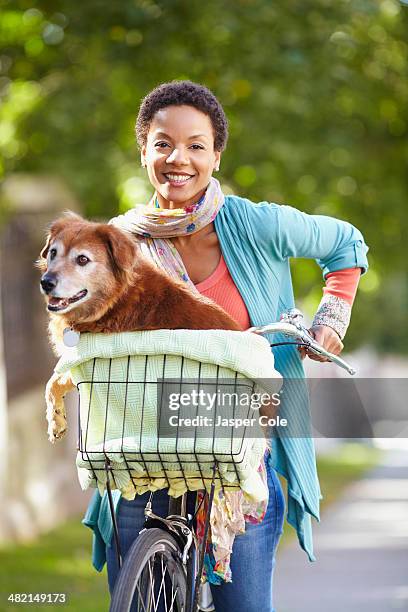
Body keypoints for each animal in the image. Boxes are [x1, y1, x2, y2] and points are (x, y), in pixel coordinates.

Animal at [36, 213, 241, 442]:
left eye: (82, 259)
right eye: (53, 252)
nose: (46, 282)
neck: (116, 300)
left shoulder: (91, 363)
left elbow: (54, 381)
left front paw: (55, 420)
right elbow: (52, 383)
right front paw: (56, 420)